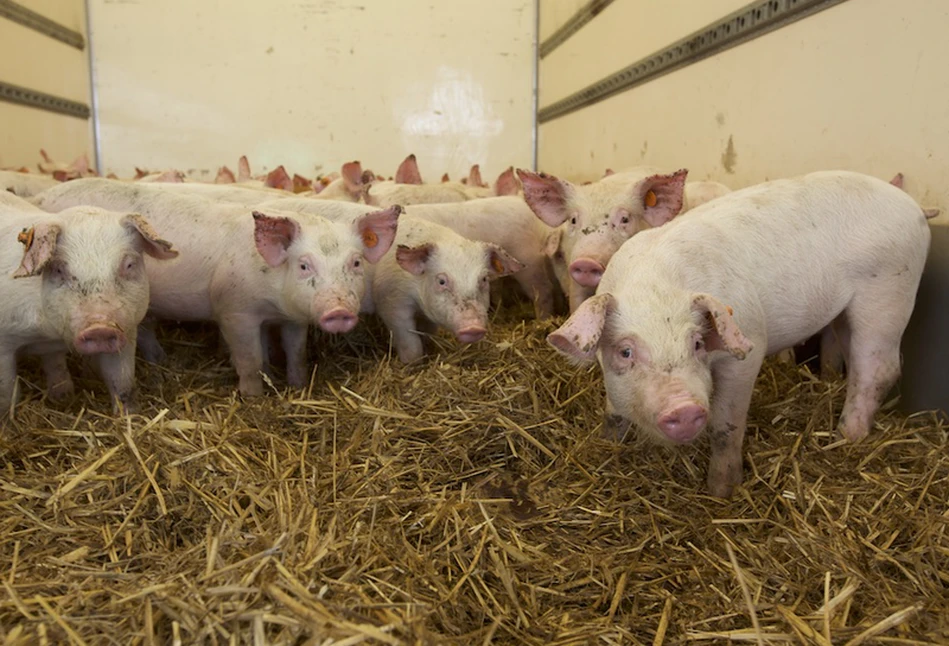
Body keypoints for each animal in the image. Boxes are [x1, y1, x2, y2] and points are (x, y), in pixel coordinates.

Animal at [33, 180, 400, 398]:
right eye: (304, 265)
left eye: (355, 263)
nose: (338, 311)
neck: (273, 301)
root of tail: (41, 196)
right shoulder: (233, 310)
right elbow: (250, 358)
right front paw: (253, 399)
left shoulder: (293, 318)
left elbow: (296, 351)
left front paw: (297, 386)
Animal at [548, 172, 932, 502]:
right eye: (625, 351)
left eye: (697, 344)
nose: (684, 408)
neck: (655, 287)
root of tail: (913, 206)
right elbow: (613, 413)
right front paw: (608, 445)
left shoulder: (750, 343)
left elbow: (726, 426)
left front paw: (721, 493)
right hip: (849, 311)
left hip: (889, 291)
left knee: (879, 369)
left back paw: (846, 439)